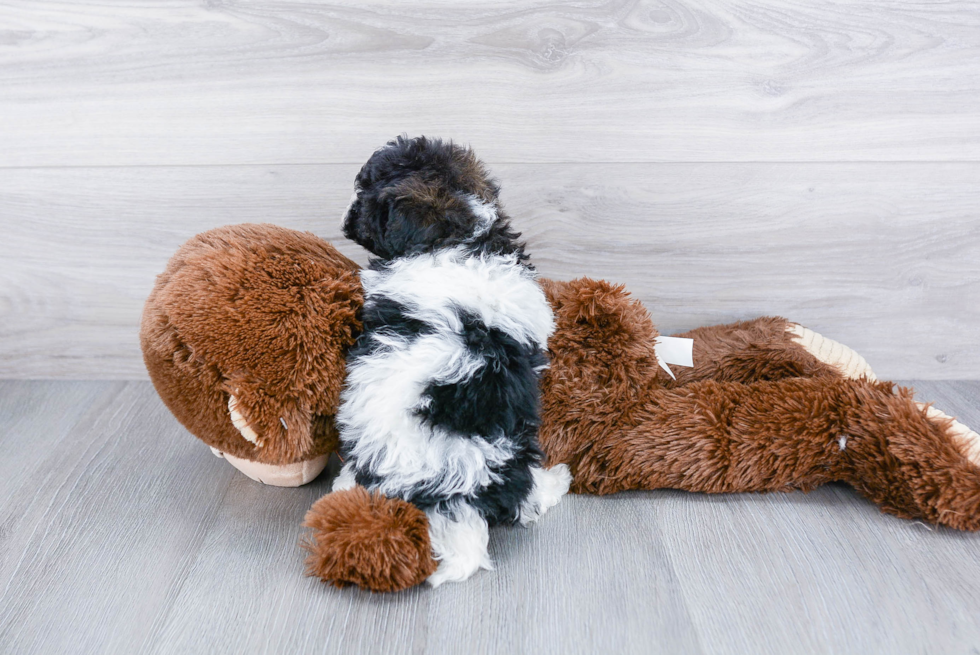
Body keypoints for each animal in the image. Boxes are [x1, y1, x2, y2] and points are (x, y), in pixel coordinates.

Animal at [334, 136, 572, 588]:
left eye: (363, 194)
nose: (345, 219)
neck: (453, 239)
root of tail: (441, 491)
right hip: (515, 452)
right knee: (526, 494)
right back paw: (554, 484)